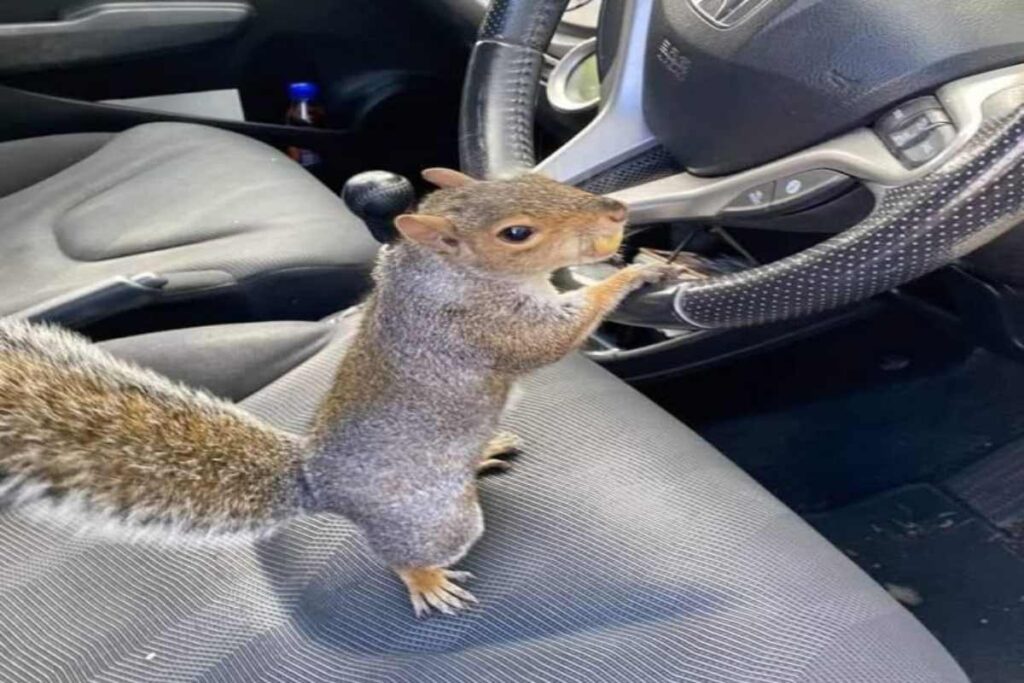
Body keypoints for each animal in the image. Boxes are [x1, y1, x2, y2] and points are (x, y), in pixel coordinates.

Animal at [0, 167, 679, 616]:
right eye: (516, 234)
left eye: (535, 173)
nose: (616, 211)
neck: (439, 272)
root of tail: (319, 483)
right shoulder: (484, 327)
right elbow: (557, 336)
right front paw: (634, 273)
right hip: (439, 521)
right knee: (406, 554)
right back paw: (426, 580)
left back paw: (483, 451)